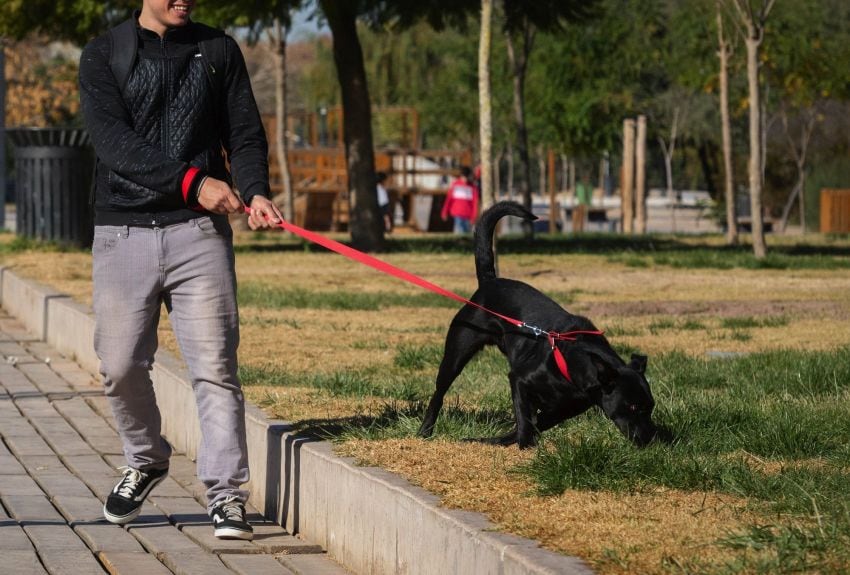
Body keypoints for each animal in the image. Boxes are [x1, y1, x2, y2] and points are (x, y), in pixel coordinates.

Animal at [416, 202, 656, 450]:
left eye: (651, 407)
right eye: (632, 406)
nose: (650, 439)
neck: (572, 360)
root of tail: (489, 282)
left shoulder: (566, 408)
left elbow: (535, 422)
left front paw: (500, 440)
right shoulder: (520, 381)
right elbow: (524, 418)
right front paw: (525, 445)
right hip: (458, 351)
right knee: (439, 393)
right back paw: (425, 430)